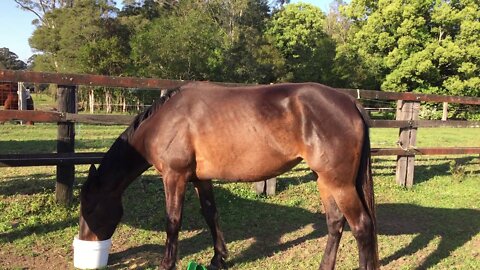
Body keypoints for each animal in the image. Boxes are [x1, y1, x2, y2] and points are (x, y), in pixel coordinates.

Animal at [79, 83, 378, 270]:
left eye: (89, 208)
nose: (87, 242)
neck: (165, 122)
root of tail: (350, 102)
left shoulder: (174, 177)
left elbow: (173, 221)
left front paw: (166, 263)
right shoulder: (200, 179)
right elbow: (211, 214)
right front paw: (219, 258)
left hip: (339, 183)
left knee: (362, 226)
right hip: (324, 180)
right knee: (335, 223)